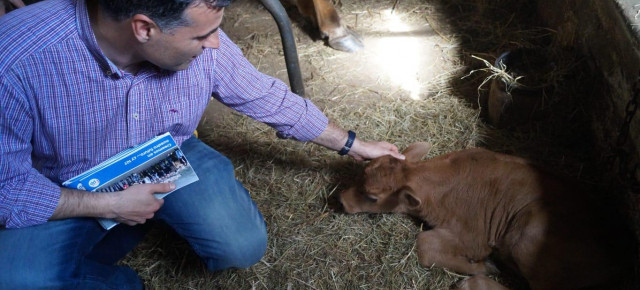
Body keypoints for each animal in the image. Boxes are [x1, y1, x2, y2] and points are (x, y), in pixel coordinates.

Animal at [340, 143, 636, 290]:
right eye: (364, 169)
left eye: (372, 197)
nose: (341, 199)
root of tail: (622, 254)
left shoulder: (473, 237)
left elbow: (424, 245)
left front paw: (483, 267)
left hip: (527, 237)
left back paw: (474, 283)